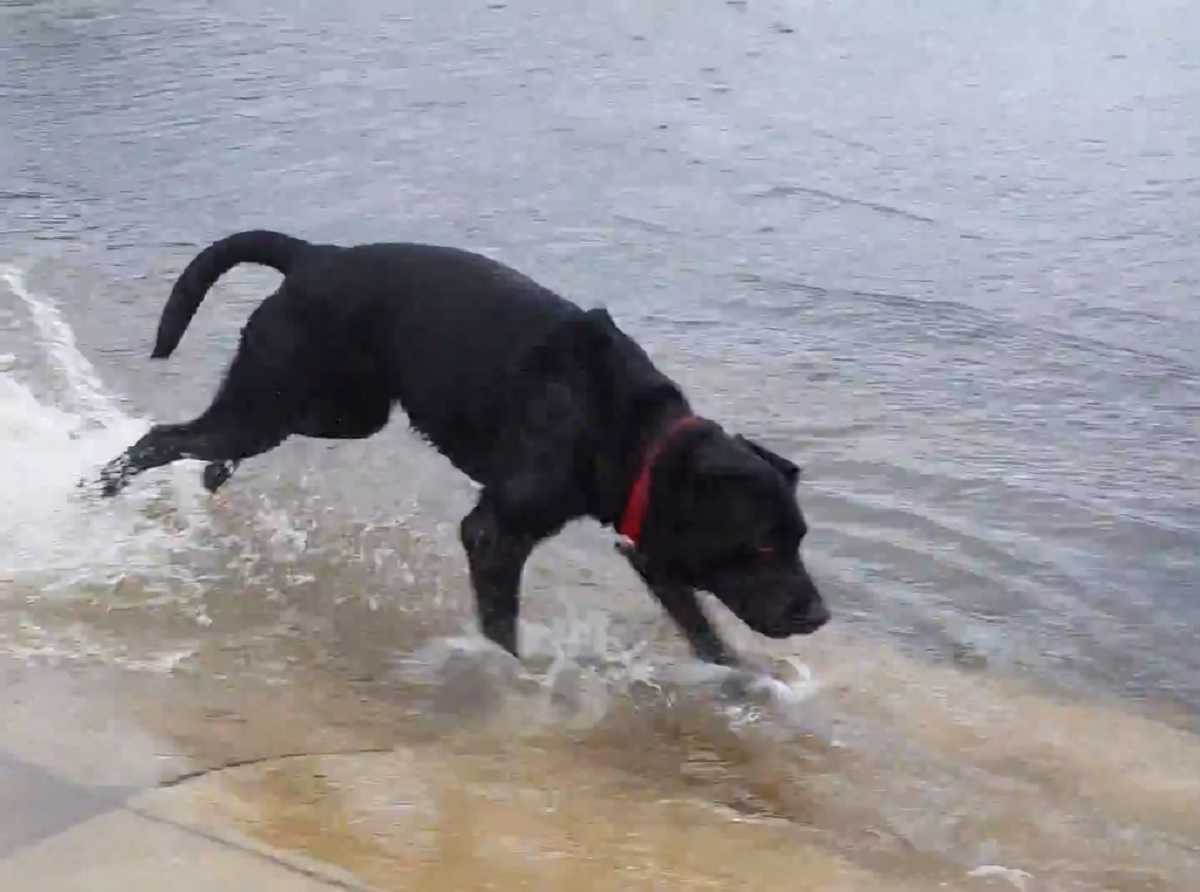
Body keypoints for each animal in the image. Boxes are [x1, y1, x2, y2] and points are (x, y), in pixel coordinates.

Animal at [98, 230, 825, 662]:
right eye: (763, 546)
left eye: (799, 540)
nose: (817, 614)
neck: (626, 428)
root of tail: (316, 255)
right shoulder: (495, 534)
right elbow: (502, 623)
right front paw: (512, 676)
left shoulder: (655, 547)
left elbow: (704, 631)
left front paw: (747, 689)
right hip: (276, 401)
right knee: (165, 437)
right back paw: (98, 489)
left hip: (333, 410)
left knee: (216, 443)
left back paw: (208, 480)